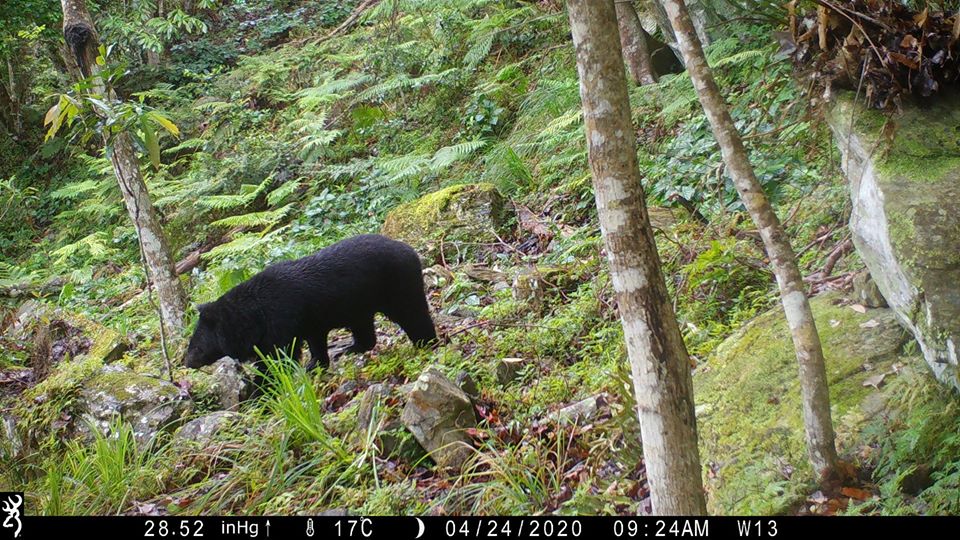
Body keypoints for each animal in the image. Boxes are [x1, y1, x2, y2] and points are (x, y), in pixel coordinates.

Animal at [184, 234, 437, 371]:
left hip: (396, 285)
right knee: (364, 330)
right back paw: (349, 348)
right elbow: (315, 343)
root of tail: (410, 250)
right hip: (359, 305)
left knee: (413, 314)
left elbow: (280, 356)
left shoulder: (281, 320)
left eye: (196, 346)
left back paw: (426, 342)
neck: (254, 316)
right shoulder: (309, 322)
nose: (186, 362)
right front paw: (315, 364)